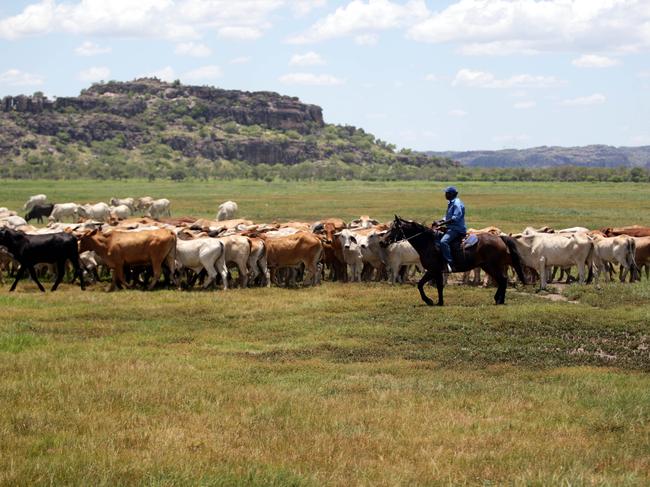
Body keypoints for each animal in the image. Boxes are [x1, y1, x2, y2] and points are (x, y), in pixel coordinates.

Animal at [380, 216, 528, 306]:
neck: (428, 243)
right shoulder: (435, 271)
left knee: (502, 280)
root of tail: (500, 237)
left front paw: (430, 301)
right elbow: (430, 286)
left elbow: (423, 285)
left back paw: (499, 300)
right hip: (488, 266)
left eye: (394, 228)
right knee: (502, 280)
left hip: (492, 265)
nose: (382, 242)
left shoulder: (434, 270)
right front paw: (438, 302)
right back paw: (499, 299)